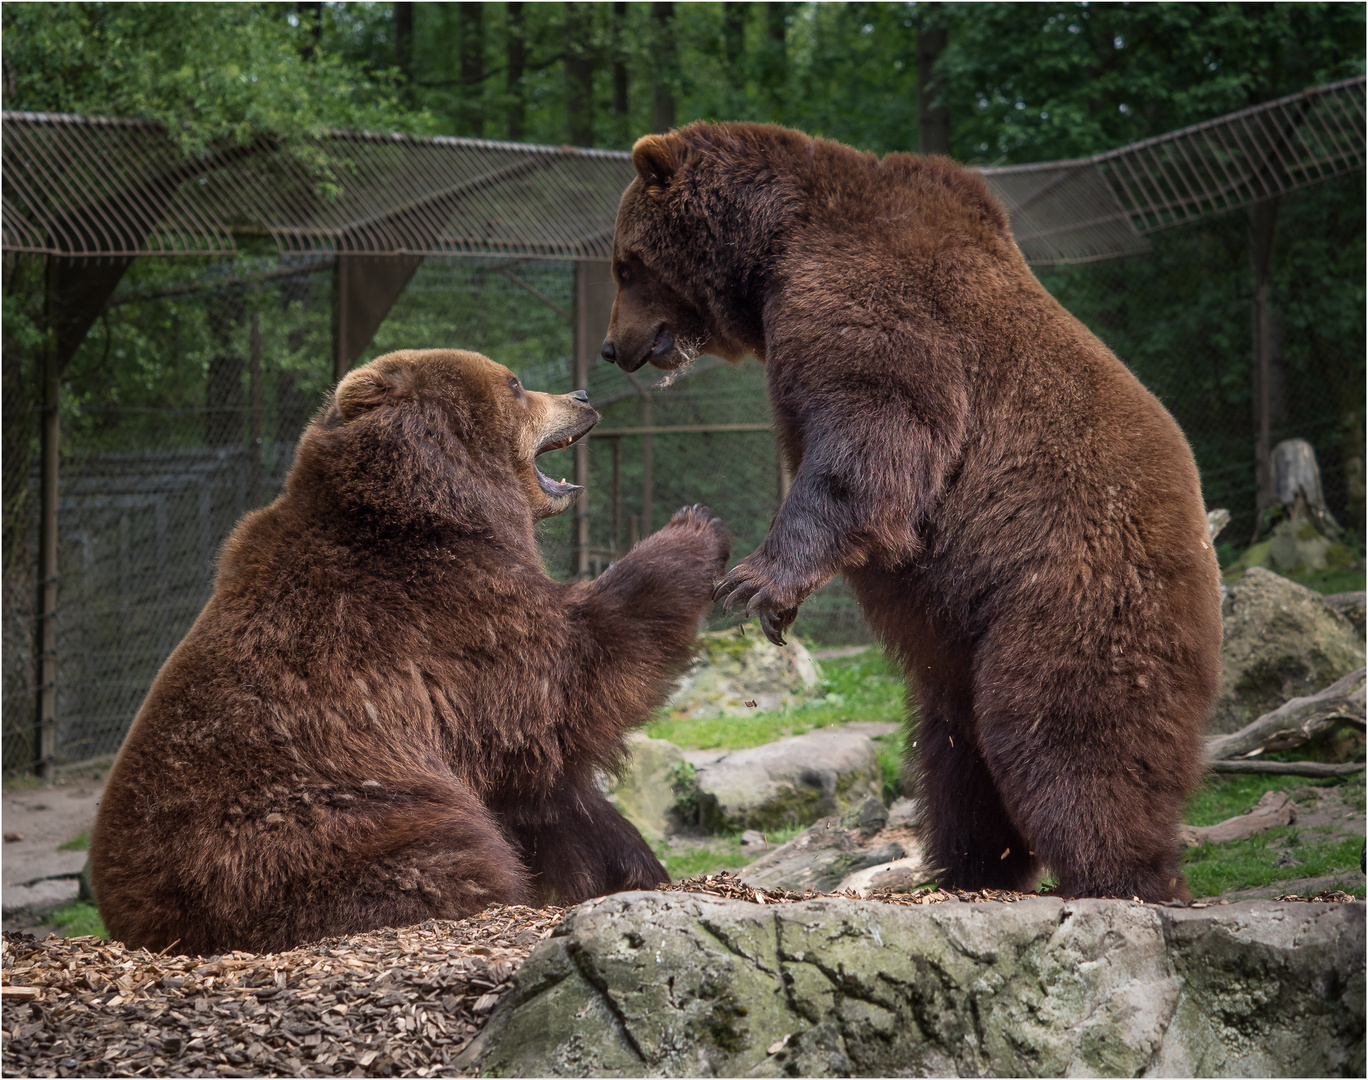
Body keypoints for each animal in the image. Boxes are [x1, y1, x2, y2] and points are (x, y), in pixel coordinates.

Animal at [86, 347, 733, 952]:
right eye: (516, 383)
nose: (580, 393)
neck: (436, 500)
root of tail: (135, 926)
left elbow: (548, 796)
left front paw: (629, 861)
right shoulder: (446, 615)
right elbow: (574, 673)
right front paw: (696, 528)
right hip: (322, 823)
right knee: (441, 855)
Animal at [604, 119, 1225, 903]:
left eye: (624, 265)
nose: (611, 346)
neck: (774, 247)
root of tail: (1206, 550)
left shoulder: (871, 300)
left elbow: (874, 427)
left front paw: (754, 583)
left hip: (1073, 585)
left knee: (1065, 727)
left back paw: (1122, 871)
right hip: (963, 639)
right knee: (955, 746)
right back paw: (966, 864)